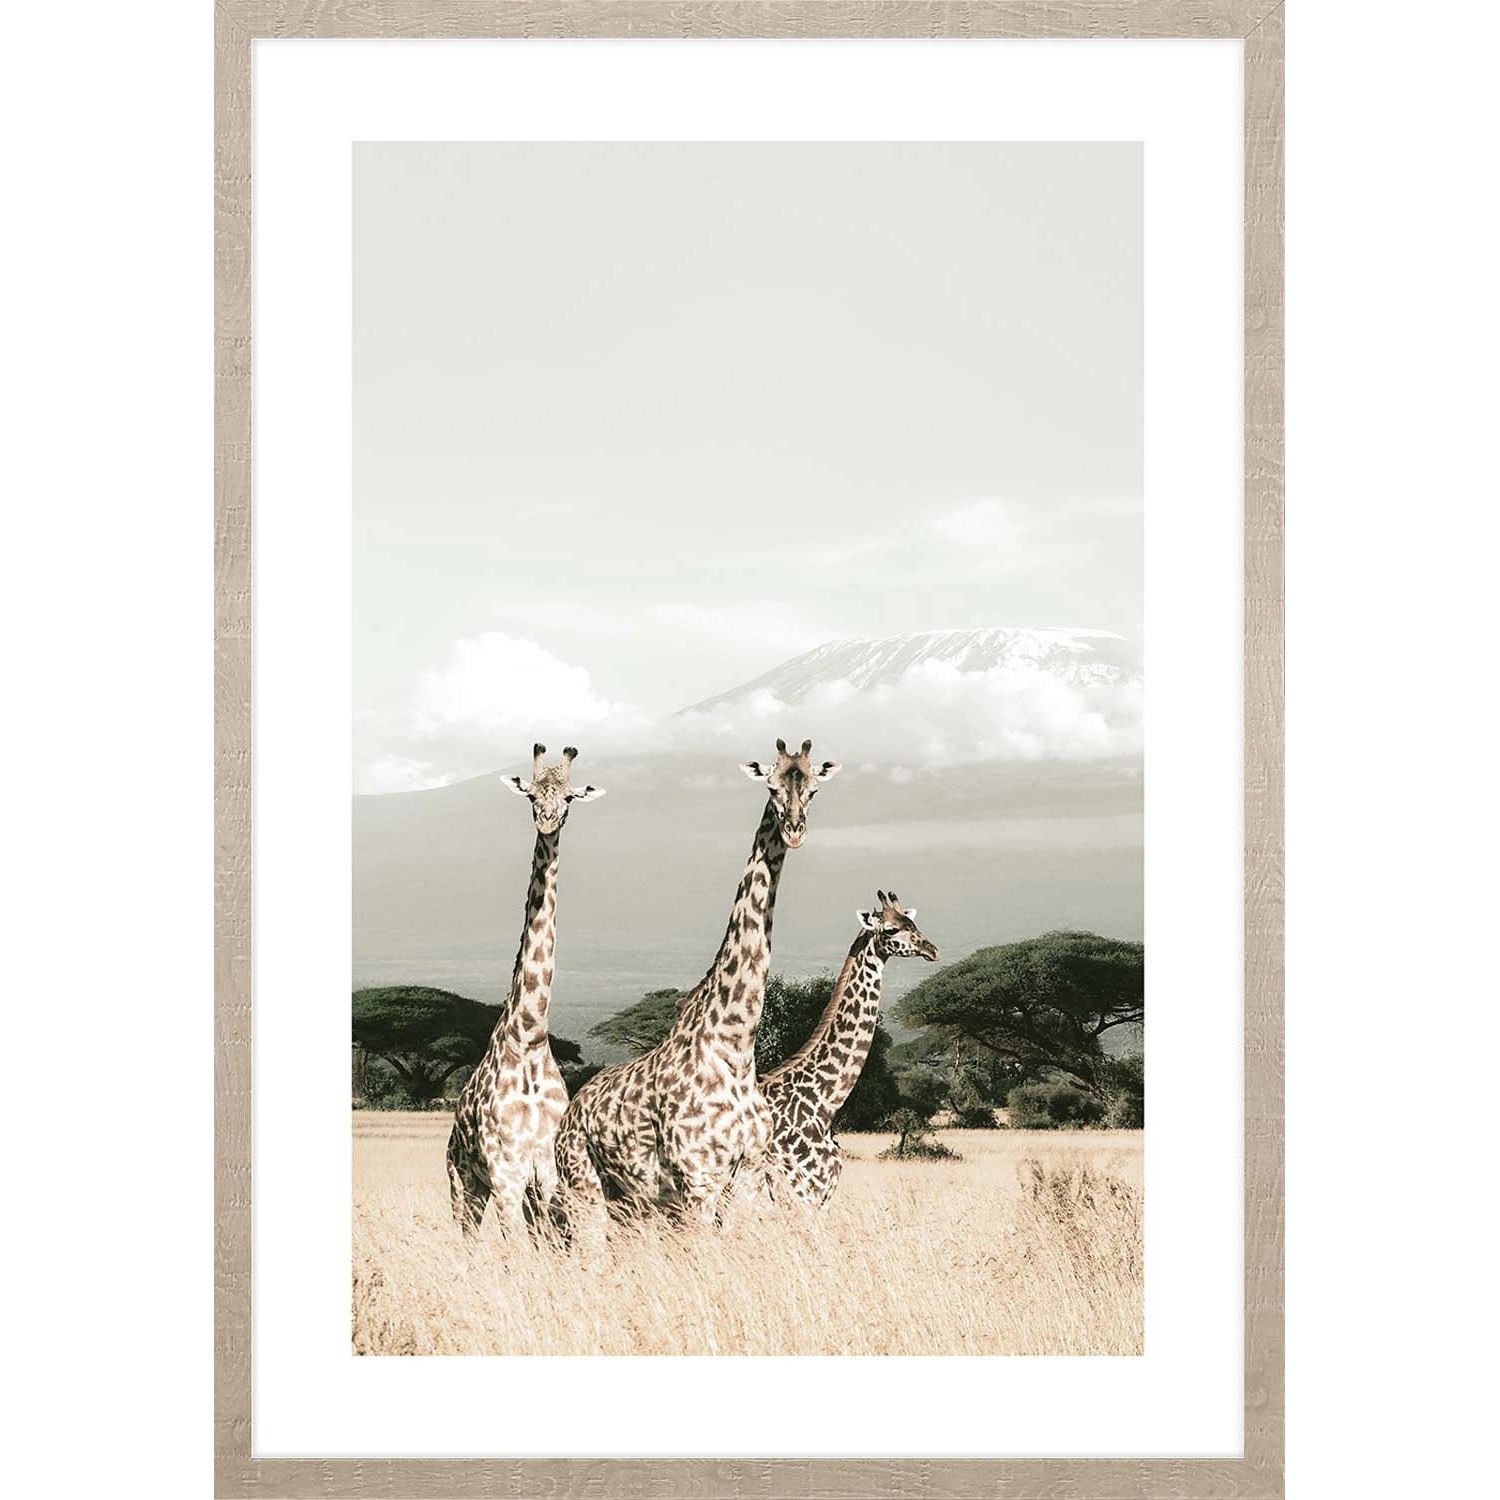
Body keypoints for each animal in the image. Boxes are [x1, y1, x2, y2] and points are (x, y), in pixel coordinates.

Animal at [445, 743, 605, 1237]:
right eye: (532, 794)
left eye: (569, 797)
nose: (548, 821)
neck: (530, 1037)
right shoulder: (506, 1172)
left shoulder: (548, 1172)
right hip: (463, 1183)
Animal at [553, 738, 840, 1244]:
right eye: (771, 786)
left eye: (813, 789)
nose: (794, 831)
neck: (735, 1045)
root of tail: (571, 1112)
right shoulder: (698, 1179)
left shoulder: (747, 1175)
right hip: (584, 1186)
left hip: (630, 1201)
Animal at [760, 891, 938, 1207]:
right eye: (890, 929)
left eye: (913, 923)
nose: (932, 949)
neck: (824, 1104)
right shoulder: (802, 1193)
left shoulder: (819, 1196)